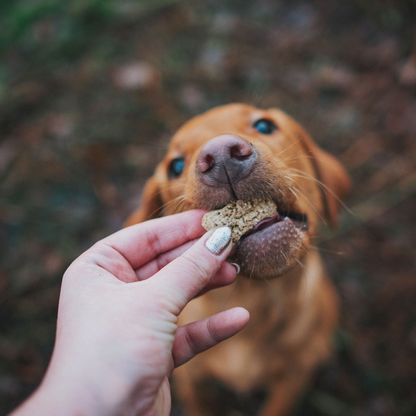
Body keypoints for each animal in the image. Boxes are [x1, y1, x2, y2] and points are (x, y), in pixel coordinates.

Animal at [125, 104, 350, 416]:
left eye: (265, 126)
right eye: (176, 167)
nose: (221, 156)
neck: (254, 300)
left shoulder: (293, 378)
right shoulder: (191, 380)